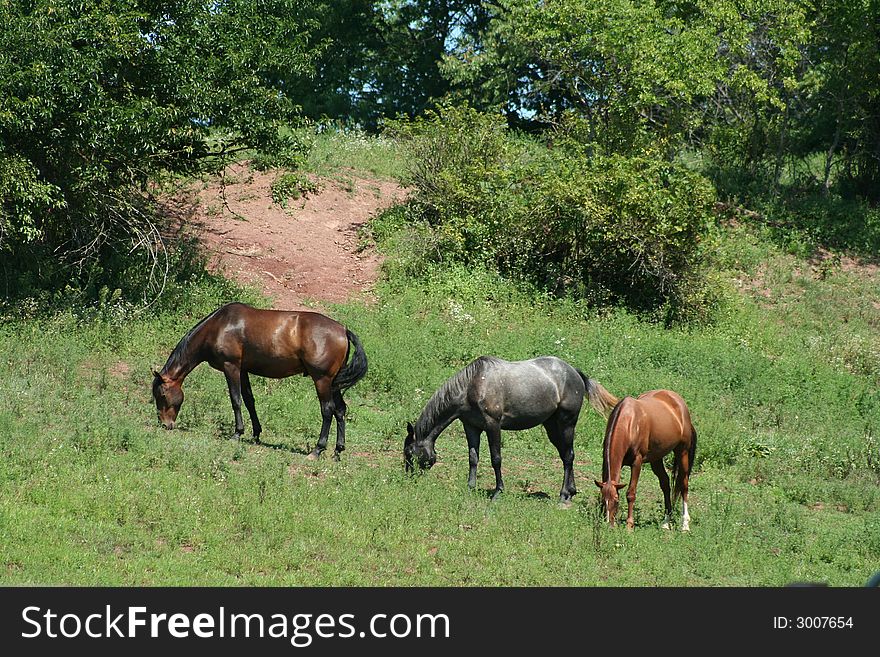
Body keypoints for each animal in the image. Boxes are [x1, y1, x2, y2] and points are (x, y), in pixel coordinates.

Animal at [151, 302, 368, 458]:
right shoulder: (243, 370)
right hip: (333, 383)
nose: (165, 424)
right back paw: (338, 451)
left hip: (322, 380)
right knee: (340, 410)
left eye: (162, 394)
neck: (219, 326)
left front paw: (237, 433)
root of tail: (343, 330)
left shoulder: (231, 367)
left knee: (328, 410)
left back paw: (317, 450)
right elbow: (249, 401)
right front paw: (255, 433)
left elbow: (236, 400)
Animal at [402, 354, 616, 502]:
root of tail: (575, 373)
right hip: (551, 426)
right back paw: (571, 492)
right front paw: (470, 487)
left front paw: (498, 492)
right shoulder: (471, 427)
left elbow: (496, 459)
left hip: (566, 423)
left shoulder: (493, 425)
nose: (408, 477)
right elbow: (473, 458)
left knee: (569, 456)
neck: (473, 386)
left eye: (410, 452)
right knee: (565, 455)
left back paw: (564, 494)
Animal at [596, 386, 696, 532]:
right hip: (656, 459)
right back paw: (666, 522)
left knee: (684, 485)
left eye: (616, 500)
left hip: (682, 452)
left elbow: (631, 493)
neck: (629, 422)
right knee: (665, 484)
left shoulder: (636, 462)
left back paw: (685, 525)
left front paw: (629, 525)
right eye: (604, 500)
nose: (609, 525)